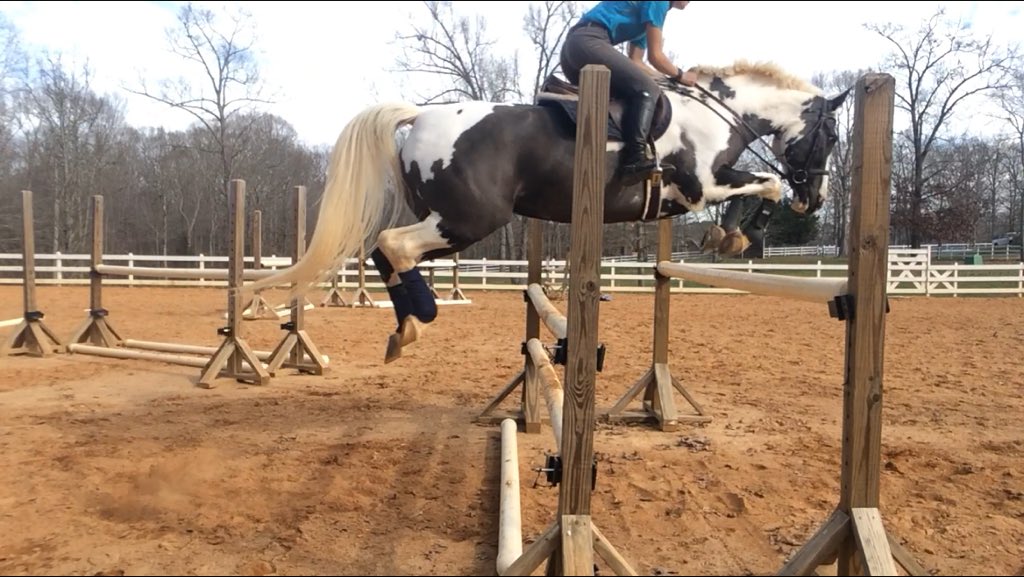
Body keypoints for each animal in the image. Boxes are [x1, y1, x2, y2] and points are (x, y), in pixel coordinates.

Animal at [243, 60, 849, 363]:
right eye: (832, 137)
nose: (815, 200)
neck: (717, 111)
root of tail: (420, 114)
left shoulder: (698, 193)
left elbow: (754, 190)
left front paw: (729, 238)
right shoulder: (700, 187)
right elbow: (766, 185)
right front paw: (744, 236)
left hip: (447, 222)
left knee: (382, 250)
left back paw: (405, 328)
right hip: (469, 222)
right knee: (393, 245)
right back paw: (422, 318)